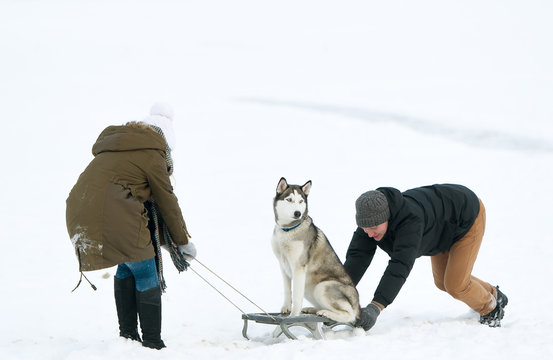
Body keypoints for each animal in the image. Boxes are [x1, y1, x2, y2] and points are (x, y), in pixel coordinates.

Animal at [270, 177, 360, 324]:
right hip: (311, 290)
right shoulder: (283, 266)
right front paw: (286, 308)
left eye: (301, 201)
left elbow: (297, 295)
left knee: (350, 315)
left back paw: (325, 313)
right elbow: (288, 290)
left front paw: (293, 315)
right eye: (289, 199)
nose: (297, 213)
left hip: (322, 287)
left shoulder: (299, 267)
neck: (288, 231)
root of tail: (358, 305)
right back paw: (312, 309)